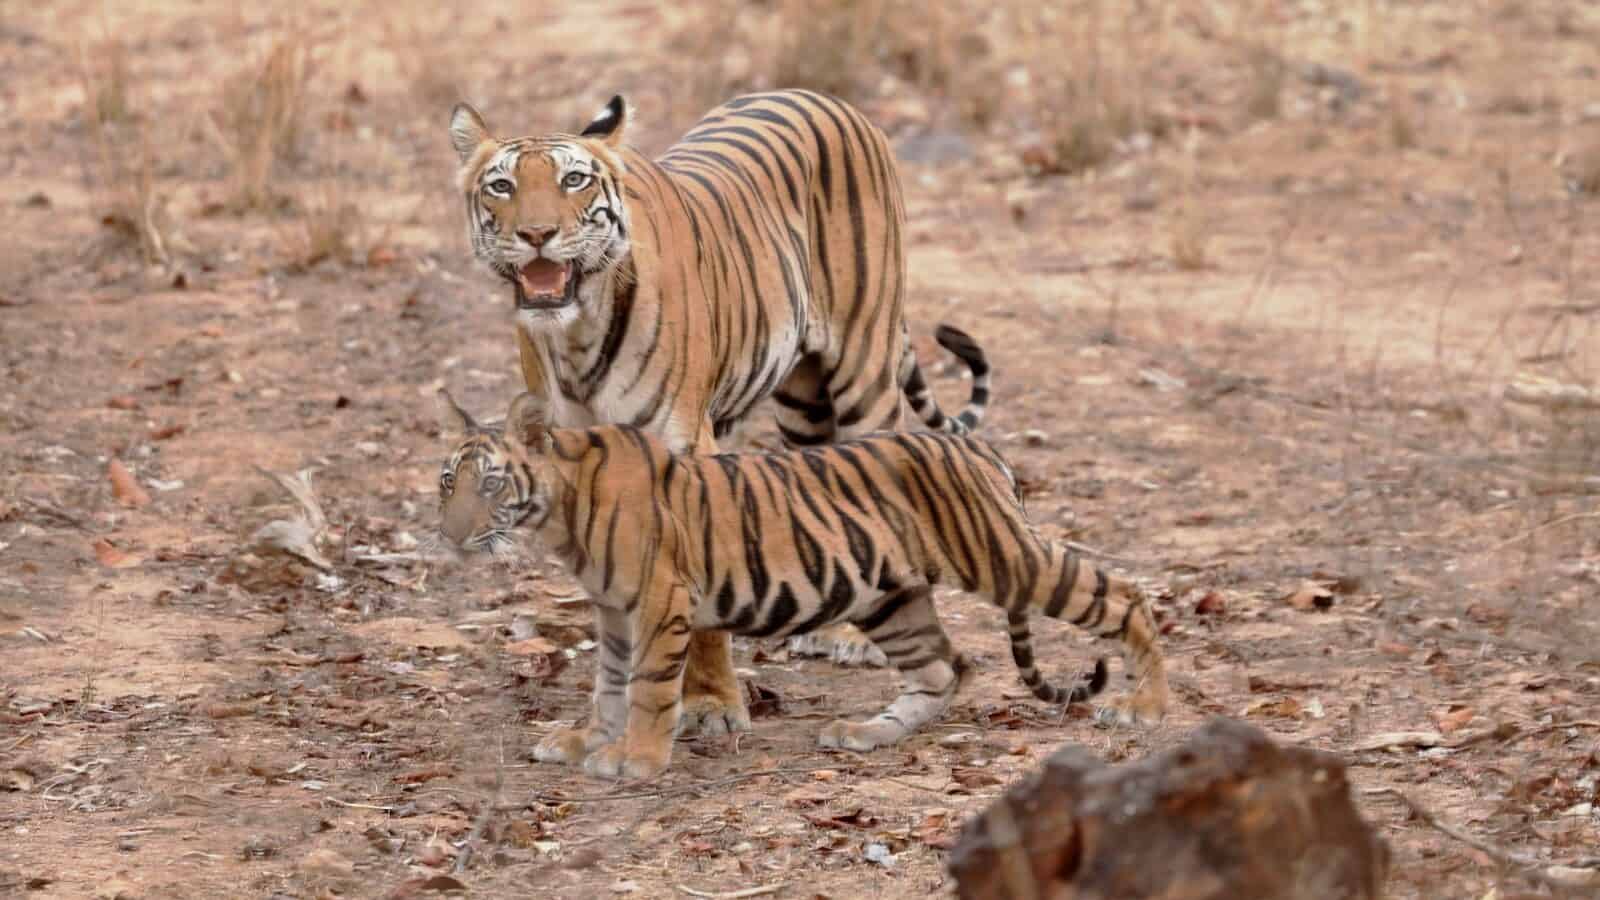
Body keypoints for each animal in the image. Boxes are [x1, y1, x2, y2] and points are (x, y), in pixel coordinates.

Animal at [436, 389, 1169, 778]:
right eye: (448, 481)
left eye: (491, 484)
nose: (449, 535)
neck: (559, 512)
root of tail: (979, 448)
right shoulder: (613, 611)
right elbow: (608, 684)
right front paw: (587, 739)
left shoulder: (660, 602)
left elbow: (646, 688)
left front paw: (636, 758)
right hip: (890, 599)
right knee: (943, 669)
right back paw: (867, 733)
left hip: (1008, 558)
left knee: (1127, 594)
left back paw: (1146, 707)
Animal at [448, 89, 994, 737]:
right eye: (501, 186)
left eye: (573, 180)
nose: (536, 234)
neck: (576, 335)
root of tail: (823, 96)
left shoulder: (681, 447)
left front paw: (710, 704)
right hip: (803, 403)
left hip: (865, 369)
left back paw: (857, 641)